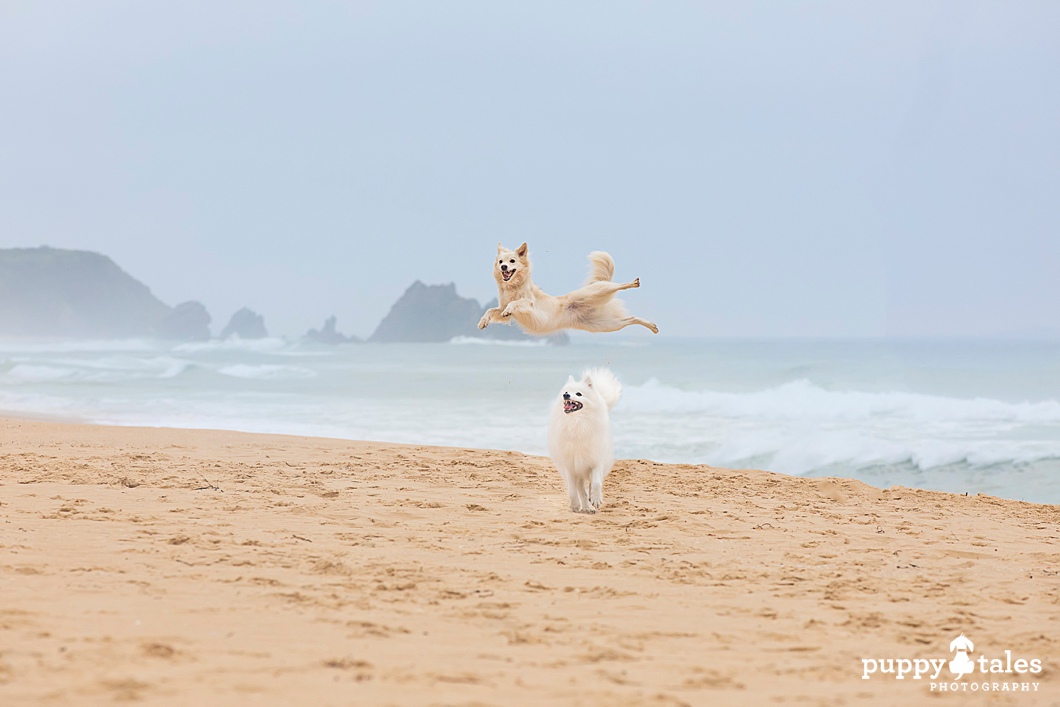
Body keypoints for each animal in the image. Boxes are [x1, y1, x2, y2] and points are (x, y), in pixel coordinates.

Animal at [479, 244, 657, 337]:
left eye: (512, 261)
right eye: (501, 261)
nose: (503, 267)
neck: (513, 286)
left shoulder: (528, 303)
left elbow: (515, 303)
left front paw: (508, 309)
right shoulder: (502, 308)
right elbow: (491, 310)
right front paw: (483, 321)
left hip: (597, 291)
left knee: (616, 286)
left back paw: (632, 283)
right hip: (604, 325)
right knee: (630, 319)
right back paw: (652, 326)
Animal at [546, 368, 619, 510]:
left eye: (579, 394)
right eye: (566, 392)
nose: (566, 395)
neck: (578, 425)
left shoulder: (595, 460)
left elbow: (596, 483)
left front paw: (596, 499)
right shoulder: (570, 466)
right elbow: (573, 491)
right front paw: (575, 505)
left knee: (591, 483)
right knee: (581, 490)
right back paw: (585, 507)